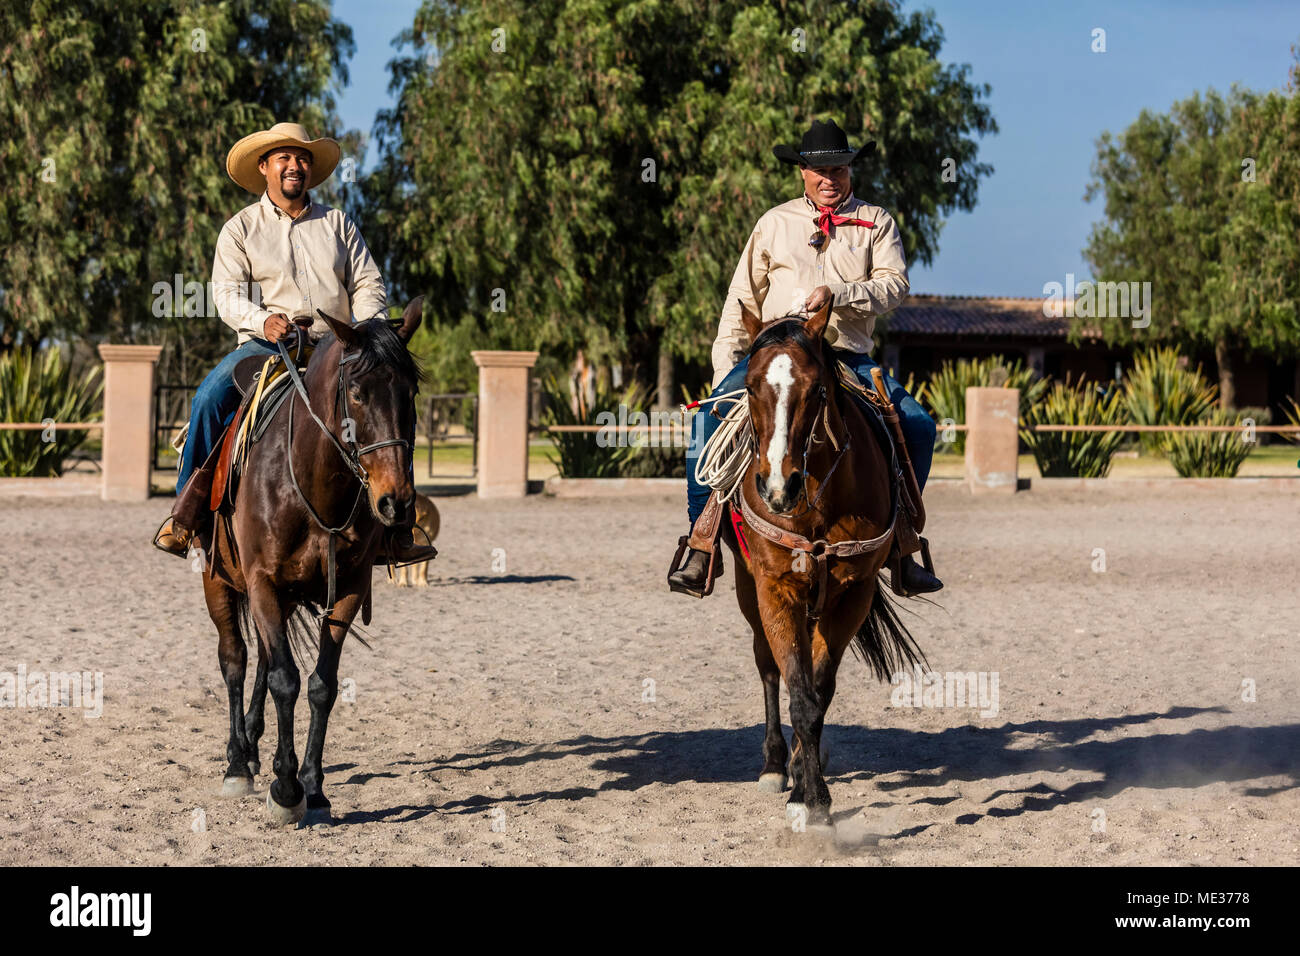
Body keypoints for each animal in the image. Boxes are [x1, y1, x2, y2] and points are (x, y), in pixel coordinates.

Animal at [202, 300, 423, 832]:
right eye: (358, 393)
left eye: (410, 393)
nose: (396, 503)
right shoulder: (260, 581)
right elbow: (284, 680)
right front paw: (285, 791)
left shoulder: (347, 589)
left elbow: (321, 685)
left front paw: (314, 787)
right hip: (217, 580)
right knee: (236, 660)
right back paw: (238, 762)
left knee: (262, 659)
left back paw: (255, 750)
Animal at [728, 299, 930, 832]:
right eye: (750, 386)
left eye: (816, 389)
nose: (778, 487)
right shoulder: (774, 589)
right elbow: (797, 690)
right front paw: (806, 794)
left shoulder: (853, 593)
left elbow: (818, 693)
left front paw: (811, 790)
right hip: (747, 589)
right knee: (768, 667)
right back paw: (775, 764)